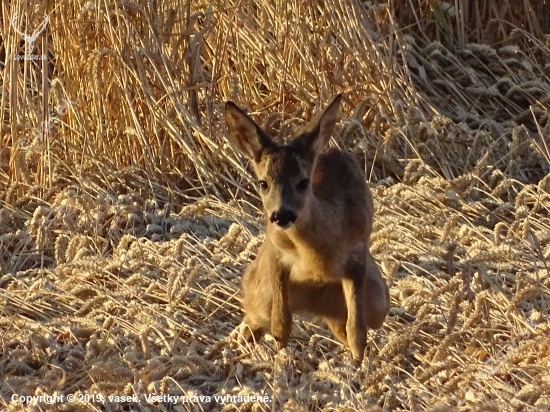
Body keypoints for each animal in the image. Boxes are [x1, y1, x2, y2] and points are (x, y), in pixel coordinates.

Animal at [225, 96, 392, 360]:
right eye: (263, 183)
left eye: (303, 182)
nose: (281, 215)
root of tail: (315, 307)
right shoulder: (275, 252)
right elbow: (281, 324)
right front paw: (281, 361)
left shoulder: (356, 253)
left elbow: (357, 331)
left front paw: (359, 366)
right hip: (259, 292)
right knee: (252, 319)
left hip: (375, 300)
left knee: (349, 326)